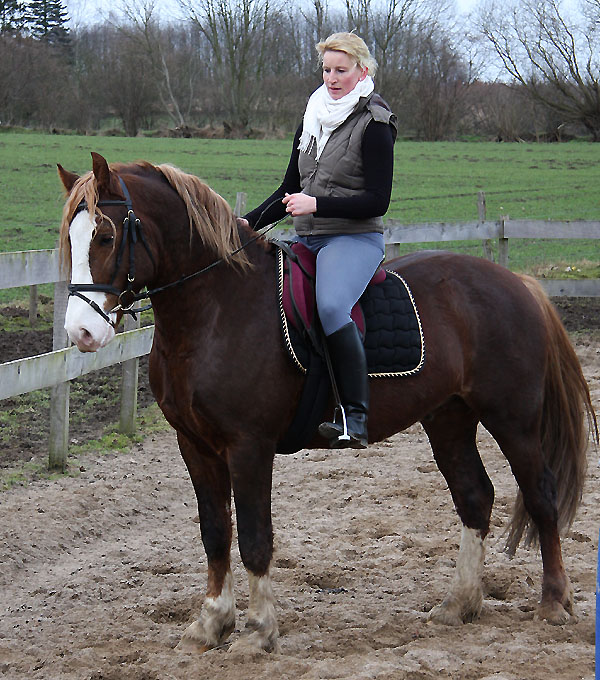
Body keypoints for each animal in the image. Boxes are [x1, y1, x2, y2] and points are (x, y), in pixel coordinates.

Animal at [57, 152, 597, 654]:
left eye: (105, 237)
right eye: (71, 239)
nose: (81, 334)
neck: (216, 309)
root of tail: (516, 282)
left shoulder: (248, 446)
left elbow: (254, 536)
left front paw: (258, 632)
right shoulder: (195, 445)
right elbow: (215, 532)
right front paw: (209, 625)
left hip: (513, 418)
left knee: (541, 495)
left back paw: (553, 604)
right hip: (449, 418)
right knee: (475, 496)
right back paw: (457, 604)